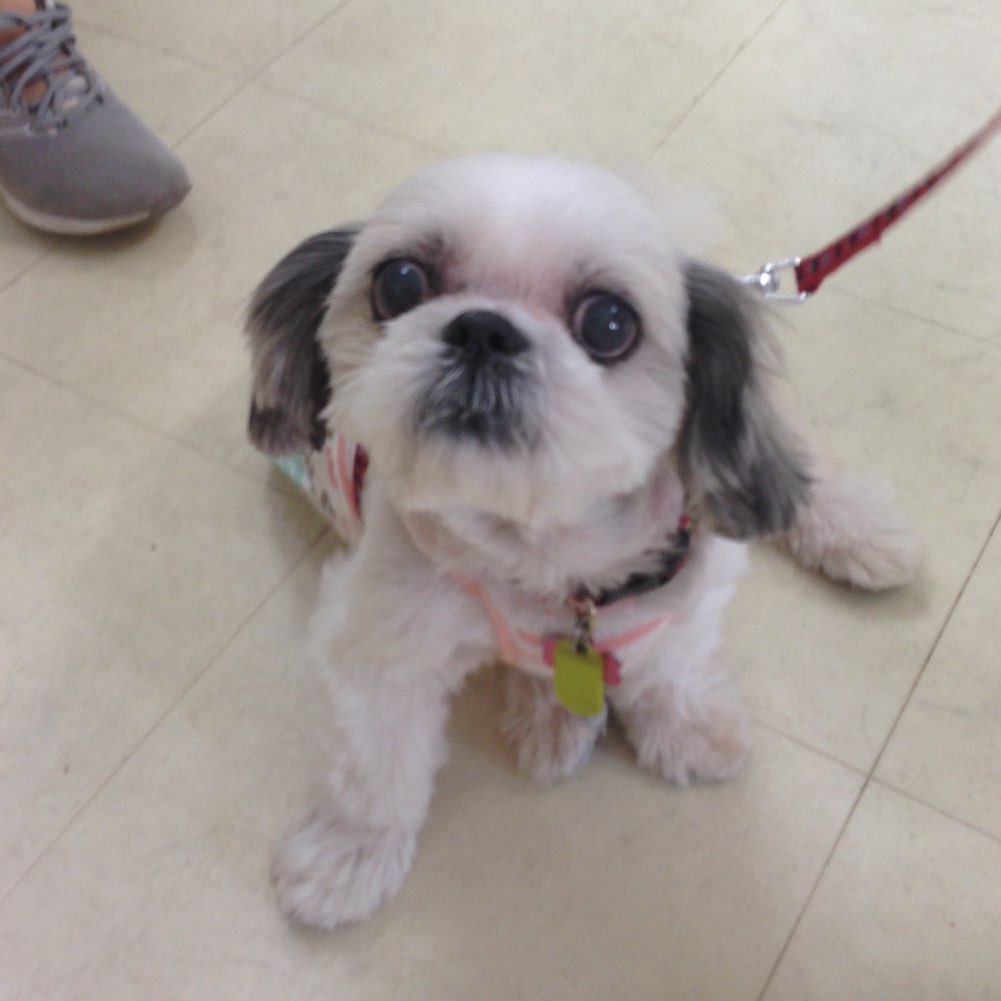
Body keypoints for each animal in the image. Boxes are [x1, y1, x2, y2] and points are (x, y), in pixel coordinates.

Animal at [245, 153, 919, 929]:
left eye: (608, 322)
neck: (548, 558)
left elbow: (671, 663)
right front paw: (347, 855)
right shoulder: (382, 641)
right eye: (400, 283)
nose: (482, 330)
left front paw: (685, 726)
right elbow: (371, 765)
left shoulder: (692, 584)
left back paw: (865, 533)